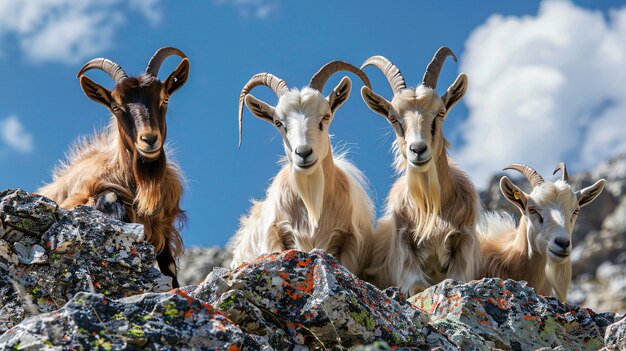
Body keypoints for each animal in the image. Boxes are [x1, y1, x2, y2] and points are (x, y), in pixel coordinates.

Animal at [37, 47, 189, 288]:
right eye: (116, 106)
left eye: (165, 99)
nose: (149, 139)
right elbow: (110, 197)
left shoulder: (162, 228)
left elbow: (171, 269)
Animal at [358, 46, 480, 294]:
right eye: (393, 118)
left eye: (440, 112)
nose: (418, 149)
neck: (431, 209)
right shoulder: (405, 248)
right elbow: (416, 286)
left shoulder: (463, 243)